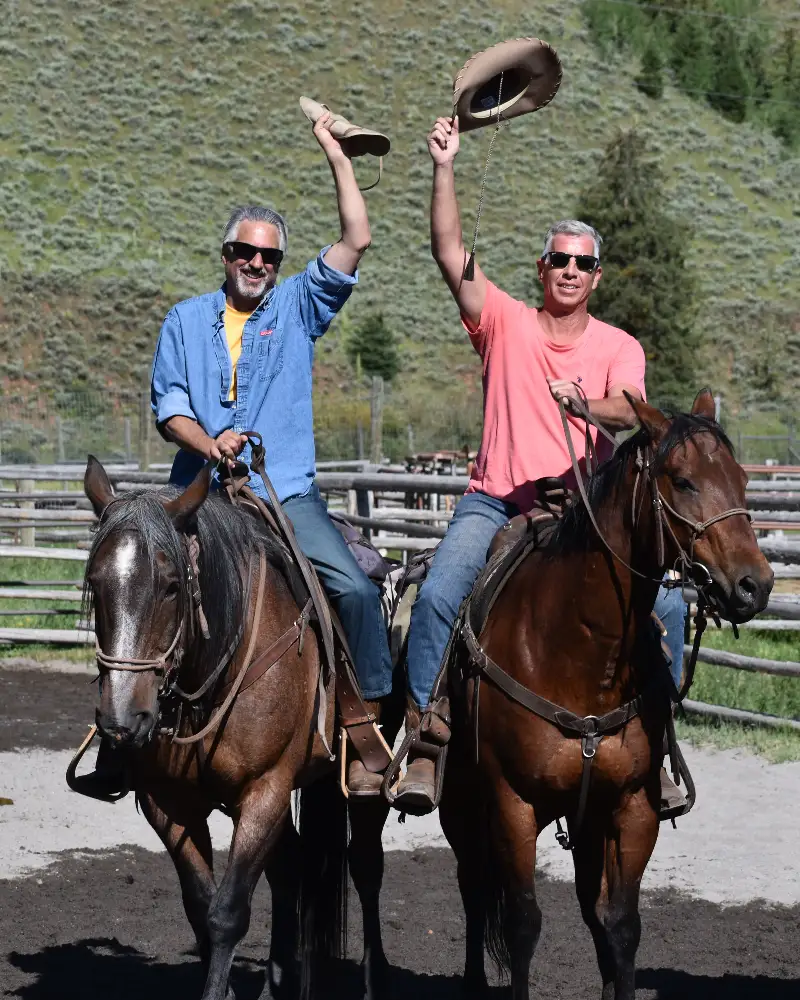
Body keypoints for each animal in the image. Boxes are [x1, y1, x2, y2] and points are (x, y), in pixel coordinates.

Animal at [76, 458, 406, 1000]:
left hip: (364, 779)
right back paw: (283, 978)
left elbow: (227, 913)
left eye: (171, 584)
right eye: (95, 582)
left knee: (365, 865)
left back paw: (373, 978)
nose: (123, 720)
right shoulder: (168, 804)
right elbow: (199, 904)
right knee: (292, 867)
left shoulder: (264, 792)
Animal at [438, 390, 776, 1000]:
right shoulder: (511, 804)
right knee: (474, 889)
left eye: (742, 479)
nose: (753, 585)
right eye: (683, 481)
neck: (578, 652)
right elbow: (522, 922)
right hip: (461, 803)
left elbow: (618, 925)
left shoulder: (630, 806)